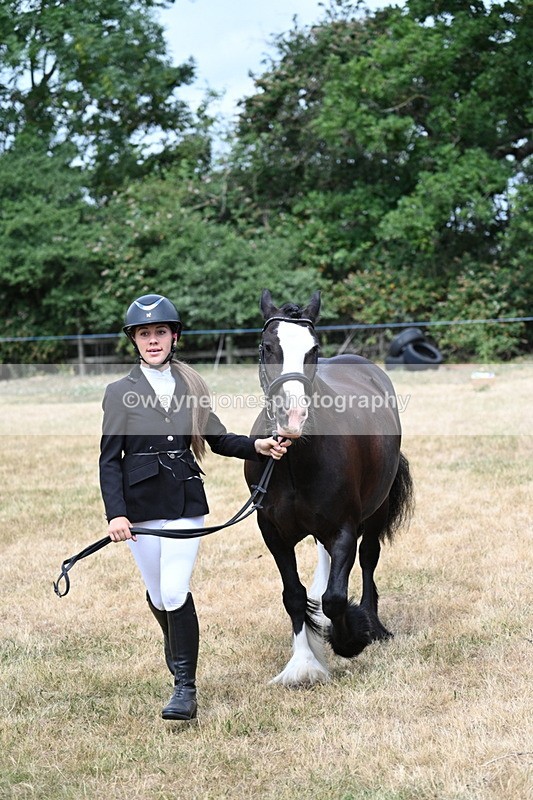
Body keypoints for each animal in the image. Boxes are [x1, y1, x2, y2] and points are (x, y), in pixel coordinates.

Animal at [244, 290, 414, 686]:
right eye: (266, 346)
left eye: (314, 349)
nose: (292, 417)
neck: (293, 459)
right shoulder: (272, 532)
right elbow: (294, 594)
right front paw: (303, 663)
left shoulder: (343, 530)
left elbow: (335, 595)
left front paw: (350, 639)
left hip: (377, 509)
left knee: (368, 559)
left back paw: (373, 625)